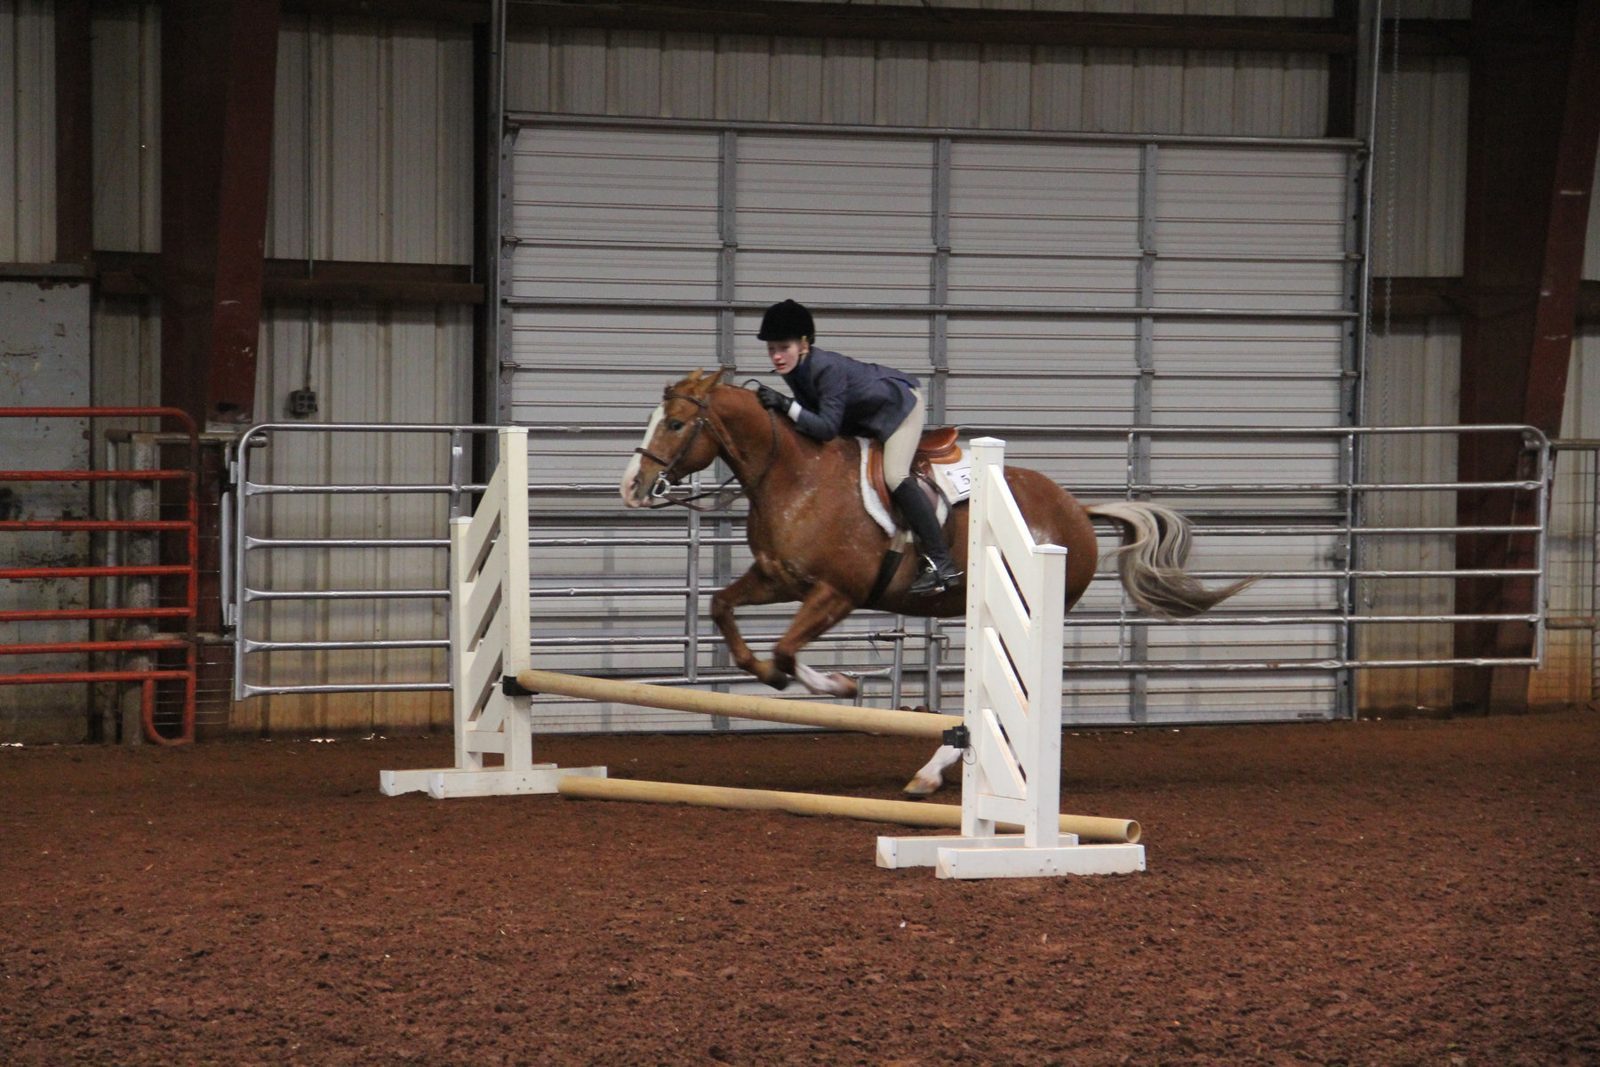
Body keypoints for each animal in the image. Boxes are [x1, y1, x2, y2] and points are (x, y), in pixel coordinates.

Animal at [619, 368, 1254, 796]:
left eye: (675, 423)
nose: (632, 486)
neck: (794, 474)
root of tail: (1076, 508)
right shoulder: (780, 579)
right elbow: (722, 609)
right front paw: (773, 677)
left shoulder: (837, 593)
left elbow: (788, 648)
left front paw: (841, 687)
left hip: (1020, 612)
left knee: (1017, 693)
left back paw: (941, 773)